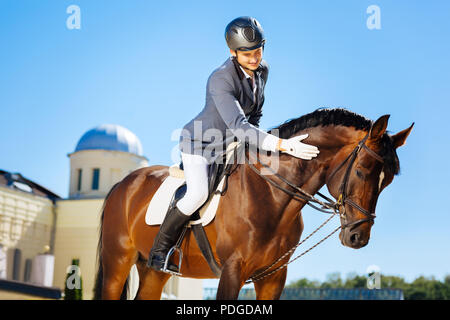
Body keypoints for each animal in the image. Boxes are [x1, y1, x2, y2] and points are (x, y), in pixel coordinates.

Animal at [93, 108, 414, 300]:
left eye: (387, 181)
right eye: (361, 171)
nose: (357, 237)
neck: (272, 196)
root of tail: (123, 183)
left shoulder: (273, 276)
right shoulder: (232, 271)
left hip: (153, 271)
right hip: (117, 262)